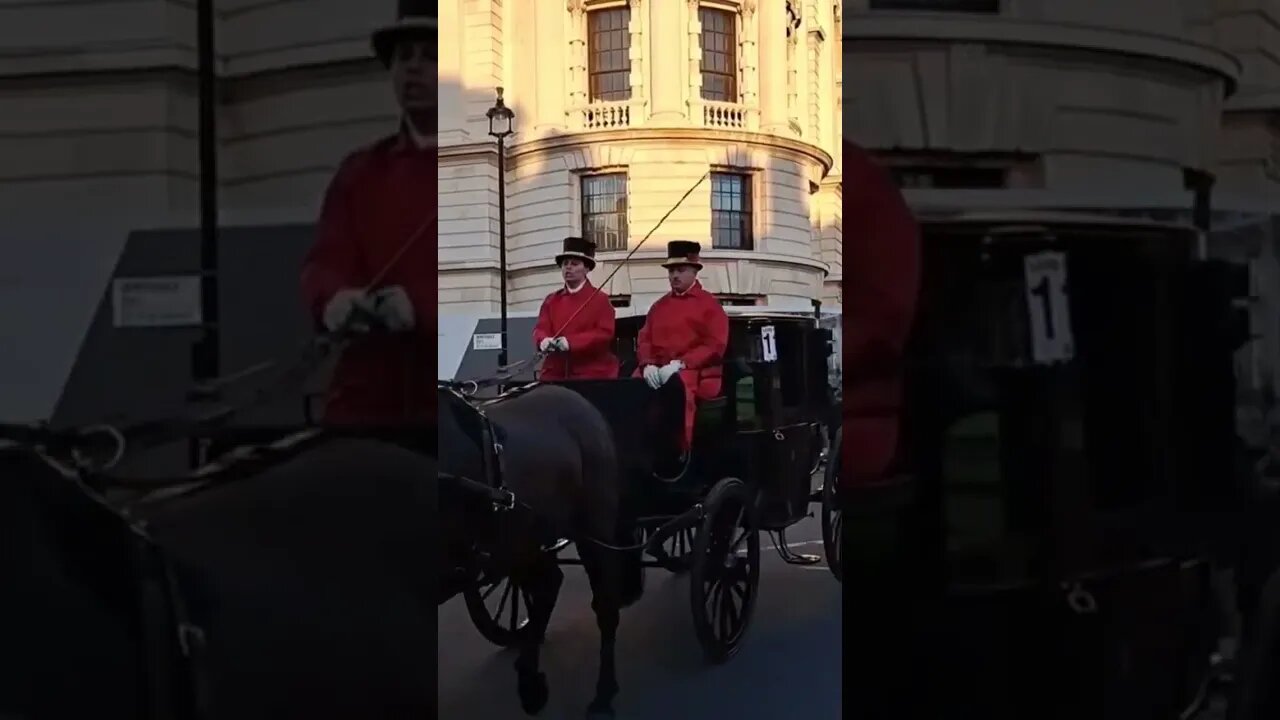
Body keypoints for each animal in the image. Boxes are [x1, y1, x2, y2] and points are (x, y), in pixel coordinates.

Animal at [440, 379, 645, 712]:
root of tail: (577, 399)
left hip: (592, 526)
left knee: (603, 604)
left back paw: (601, 693)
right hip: (524, 540)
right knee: (549, 583)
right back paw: (530, 677)